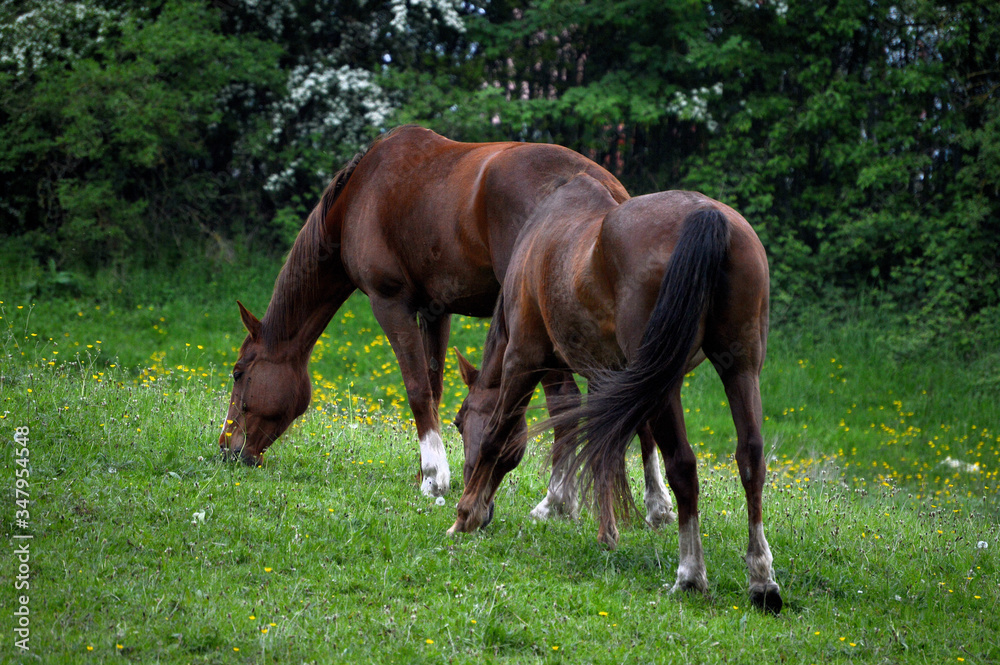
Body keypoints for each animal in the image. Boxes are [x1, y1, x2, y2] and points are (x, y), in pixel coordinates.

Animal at [217, 125, 675, 527]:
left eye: (239, 373)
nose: (226, 449)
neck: (362, 194)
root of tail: (602, 188)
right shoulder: (437, 312)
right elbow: (434, 387)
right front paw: (428, 468)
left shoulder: (391, 304)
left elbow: (417, 388)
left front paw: (435, 477)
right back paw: (656, 504)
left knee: (566, 404)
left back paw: (555, 501)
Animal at [446, 174, 781, 613]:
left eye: (458, 422)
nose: (484, 513)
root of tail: (708, 216)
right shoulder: (614, 376)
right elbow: (610, 447)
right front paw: (613, 526)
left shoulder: (524, 357)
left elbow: (497, 434)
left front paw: (465, 515)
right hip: (740, 367)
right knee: (750, 457)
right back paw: (762, 579)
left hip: (666, 379)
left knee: (684, 465)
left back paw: (690, 576)